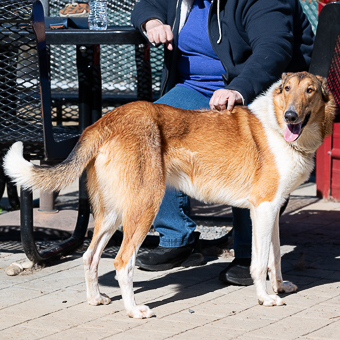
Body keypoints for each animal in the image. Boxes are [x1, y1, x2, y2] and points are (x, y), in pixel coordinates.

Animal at [3, 72, 334, 318]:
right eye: (287, 89)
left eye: (309, 90)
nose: (291, 116)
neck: (280, 129)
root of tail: (105, 121)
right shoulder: (263, 209)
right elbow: (259, 262)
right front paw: (266, 298)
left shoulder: (272, 211)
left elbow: (274, 257)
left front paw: (279, 287)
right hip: (144, 206)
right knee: (122, 262)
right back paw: (135, 310)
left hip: (112, 214)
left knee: (89, 256)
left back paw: (96, 299)